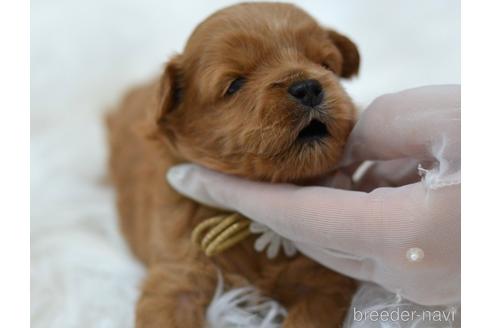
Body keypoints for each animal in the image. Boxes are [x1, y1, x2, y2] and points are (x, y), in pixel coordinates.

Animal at [107, 3, 360, 328]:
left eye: (326, 64)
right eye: (235, 85)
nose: (308, 87)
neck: (251, 226)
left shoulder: (322, 281)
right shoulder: (178, 276)